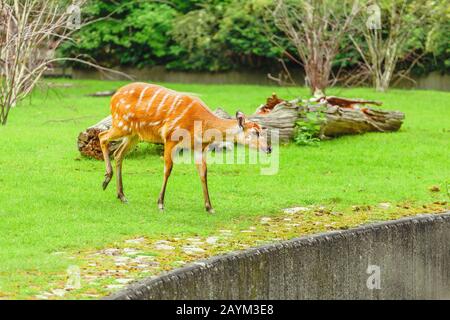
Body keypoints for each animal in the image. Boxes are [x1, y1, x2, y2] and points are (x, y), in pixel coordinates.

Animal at [99, 82, 272, 214]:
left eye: (262, 130)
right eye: (255, 132)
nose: (269, 149)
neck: (200, 126)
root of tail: (113, 98)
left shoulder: (199, 147)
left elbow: (203, 173)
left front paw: (209, 207)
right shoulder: (170, 137)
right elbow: (168, 169)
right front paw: (160, 204)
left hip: (134, 134)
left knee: (118, 153)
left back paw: (122, 195)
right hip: (122, 124)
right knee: (102, 136)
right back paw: (106, 180)